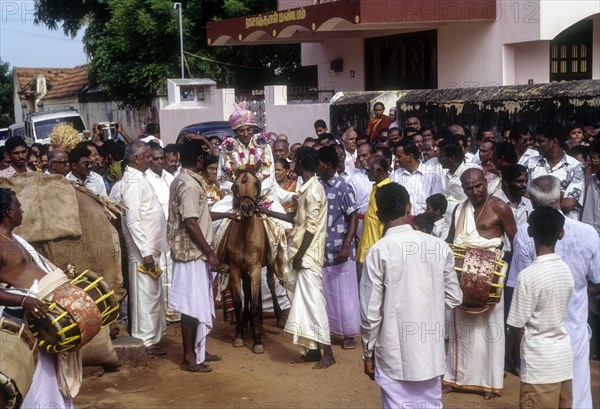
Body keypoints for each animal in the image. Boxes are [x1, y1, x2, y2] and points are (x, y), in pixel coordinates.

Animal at [224, 171, 284, 352]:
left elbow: (256, 303)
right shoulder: (235, 269)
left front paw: (257, 340)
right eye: (234, 186)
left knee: (270, 283)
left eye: (257, 184)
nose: (247, 208)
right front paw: (239, 335)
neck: (245, 236)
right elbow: (238, 302)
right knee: (248, 289)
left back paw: (277, 318)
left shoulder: (255, 268)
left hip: (269, 264)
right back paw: (247, 321)